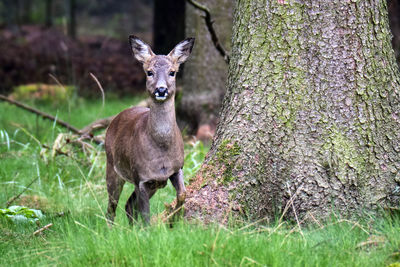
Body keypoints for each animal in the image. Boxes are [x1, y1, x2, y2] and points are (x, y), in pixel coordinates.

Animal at [104, 34, 195, 225]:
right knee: (112, 208)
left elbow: (183, 194)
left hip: (153, 183)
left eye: (172, 72)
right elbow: (145, 214)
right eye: (149, 72)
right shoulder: (141, 178)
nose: (161, 89)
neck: (161, 150)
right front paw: (151, 229)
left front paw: (174, 220)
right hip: (112, 167)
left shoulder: (176, 168)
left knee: (128, 205)